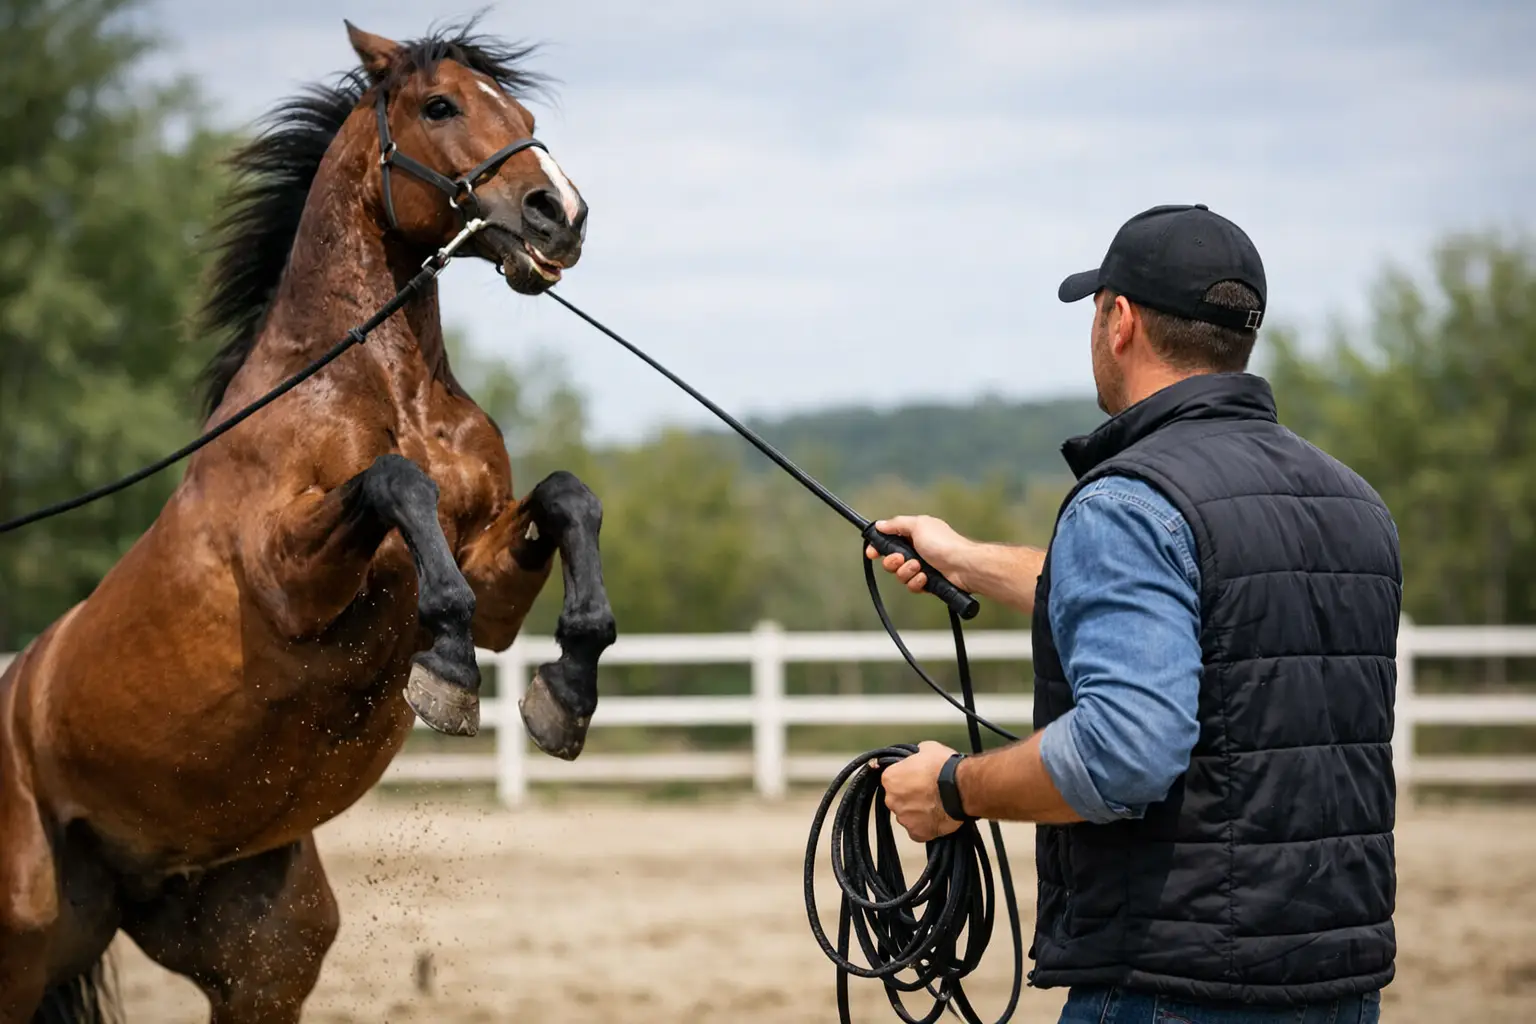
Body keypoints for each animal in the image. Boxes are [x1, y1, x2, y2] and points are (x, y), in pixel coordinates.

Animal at [0, 20, 616, 1022]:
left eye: (524, 118)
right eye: (439, 105)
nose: (558, 214)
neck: (382, 385)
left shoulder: (495, 577)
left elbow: (566, 499)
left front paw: (564, 692)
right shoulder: (289, 580)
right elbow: (397, 485)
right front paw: (446, 674)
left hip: (260, 956)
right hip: (20, 943)